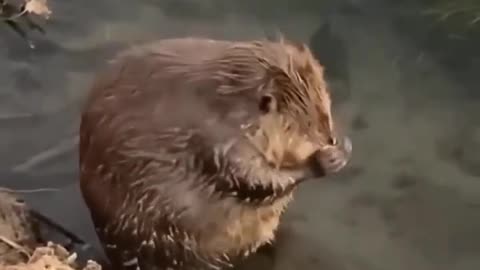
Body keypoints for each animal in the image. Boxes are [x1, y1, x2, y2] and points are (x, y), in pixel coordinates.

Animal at [79, 37, 352, 270]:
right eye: (308, 125)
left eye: (326, 111)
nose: (330, 138)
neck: (227, 102)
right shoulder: (215, 138)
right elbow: (248, 180)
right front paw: (326, 160)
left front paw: (344, 147)